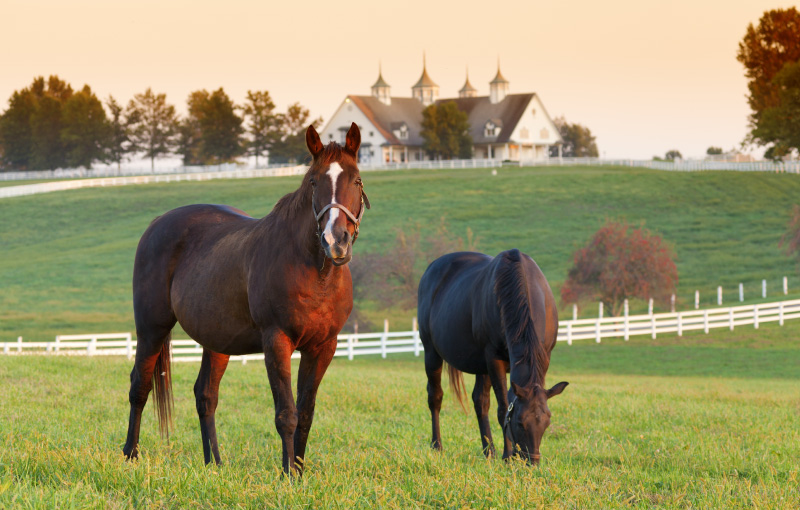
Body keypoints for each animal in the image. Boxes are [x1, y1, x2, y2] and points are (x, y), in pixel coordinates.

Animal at [122, 123, 370, 475]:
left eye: (357, 180)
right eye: (313, 181)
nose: (336, 241)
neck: (314, 273)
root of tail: (157, 224)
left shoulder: (323, 347)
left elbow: (306, 413)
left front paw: (299, 472)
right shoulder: (277, 341)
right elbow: (286, 413)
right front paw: (288, 475)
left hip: (216, 340)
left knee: (205, 395)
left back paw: (214, 463)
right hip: (151, 329)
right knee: (139, 387)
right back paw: (131, 454)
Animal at [417, 249, 568, 464]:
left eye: (547, 421)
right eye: (520, 423)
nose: (532, 462)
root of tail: (431, 269)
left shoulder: (543, 358)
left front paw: (506, 454)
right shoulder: (494, 359)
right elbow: (503, 408)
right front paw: (507, 456)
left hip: (481, 366)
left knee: (480, 402)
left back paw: (489, 451)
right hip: (432, 353)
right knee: (435, 397)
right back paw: (437, 445)